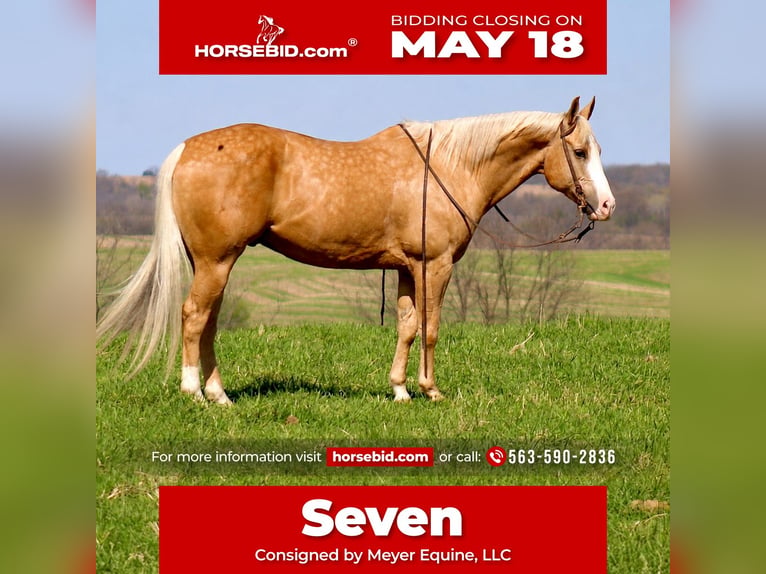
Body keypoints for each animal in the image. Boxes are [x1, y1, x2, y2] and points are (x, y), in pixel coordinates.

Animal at [96, 96, 615, 405]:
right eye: (580, 152)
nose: (607, 206)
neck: (448, 166)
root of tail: (187, 148)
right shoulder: (436, 266)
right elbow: (431, 329)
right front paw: (430, 390)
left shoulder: (408, 268)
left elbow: (407, 327)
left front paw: (400, 390)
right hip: (216, 261)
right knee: (193, 317)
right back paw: (194, 392)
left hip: (213, 262)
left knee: (208, 321)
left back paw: (219, 394)